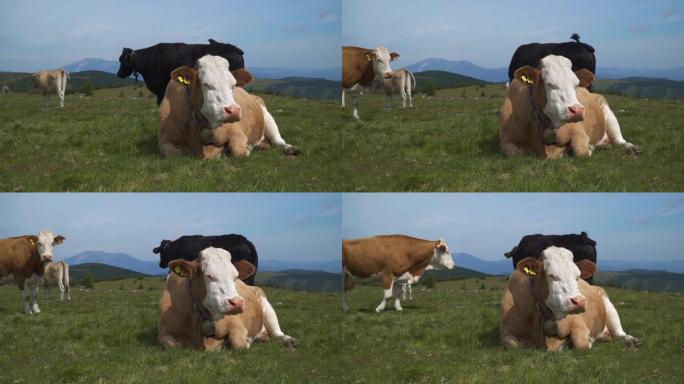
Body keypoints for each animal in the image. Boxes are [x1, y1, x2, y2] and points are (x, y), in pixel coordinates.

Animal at [160, 54, 300, 159]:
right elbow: (173, 154)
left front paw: (245, 149)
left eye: (233, 85)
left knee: (278, 140)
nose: (234, 110)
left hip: (267, 116)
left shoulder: (236, 132)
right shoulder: (164, 140)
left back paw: (290, 148)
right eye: (206, 84)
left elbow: (239, 152)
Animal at [160, 246, 300, 352]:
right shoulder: (164, 332)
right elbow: (172, 346)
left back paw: (290, 340)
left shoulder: (236, 323)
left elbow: (240, 345)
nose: (237, 302)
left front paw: (247, 341)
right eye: (209, 276)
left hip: (266, 304)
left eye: (235, 276)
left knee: (277, 333)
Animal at [500, 246, 640, 352]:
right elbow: (513, 345)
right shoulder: (506, 332)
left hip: (608, 304)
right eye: (551, 275)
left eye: (578, 276)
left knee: (619, 333)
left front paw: (589, 340)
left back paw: (631, 340)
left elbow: (581, 344)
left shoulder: (579, 325)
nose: (580, 302)